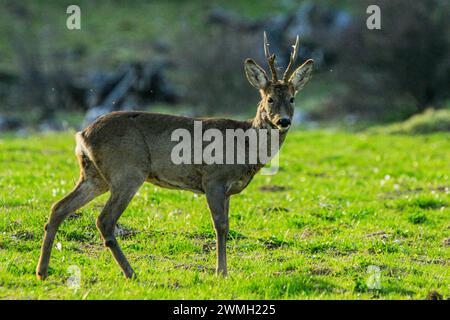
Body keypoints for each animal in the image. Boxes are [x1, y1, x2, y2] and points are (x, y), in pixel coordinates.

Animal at [36, 31, 312, 278]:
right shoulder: (213, 179)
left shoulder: (227, 190)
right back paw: (131, 273)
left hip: (95, 175)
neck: (245, 146)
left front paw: (223, 270)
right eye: (269, 98)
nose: (283, 121)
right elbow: (220, 226)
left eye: (292, 98)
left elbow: (227, 226)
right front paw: (221, 273)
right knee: (104, 220)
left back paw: (42, 272)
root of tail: (82, 134)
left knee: (59, 207)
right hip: (127, 171)